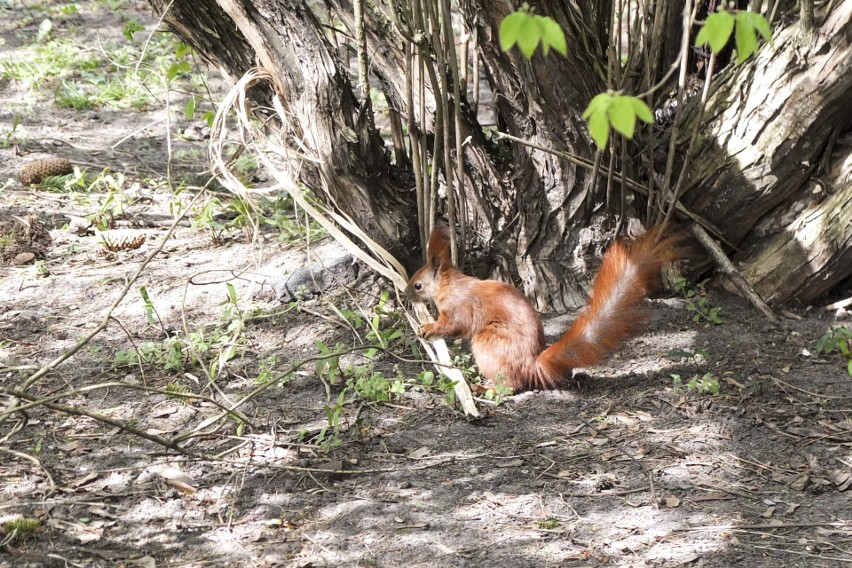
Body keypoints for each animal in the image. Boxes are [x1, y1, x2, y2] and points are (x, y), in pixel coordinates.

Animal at [408, 224, 684, 392]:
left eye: (418, 285)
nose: (404, 294)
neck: (448, 285)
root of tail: (531, 365)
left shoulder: (459, 306)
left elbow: (454, 324)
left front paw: (428, 328)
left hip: (489, 344)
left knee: (511, 386)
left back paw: (484, 388)